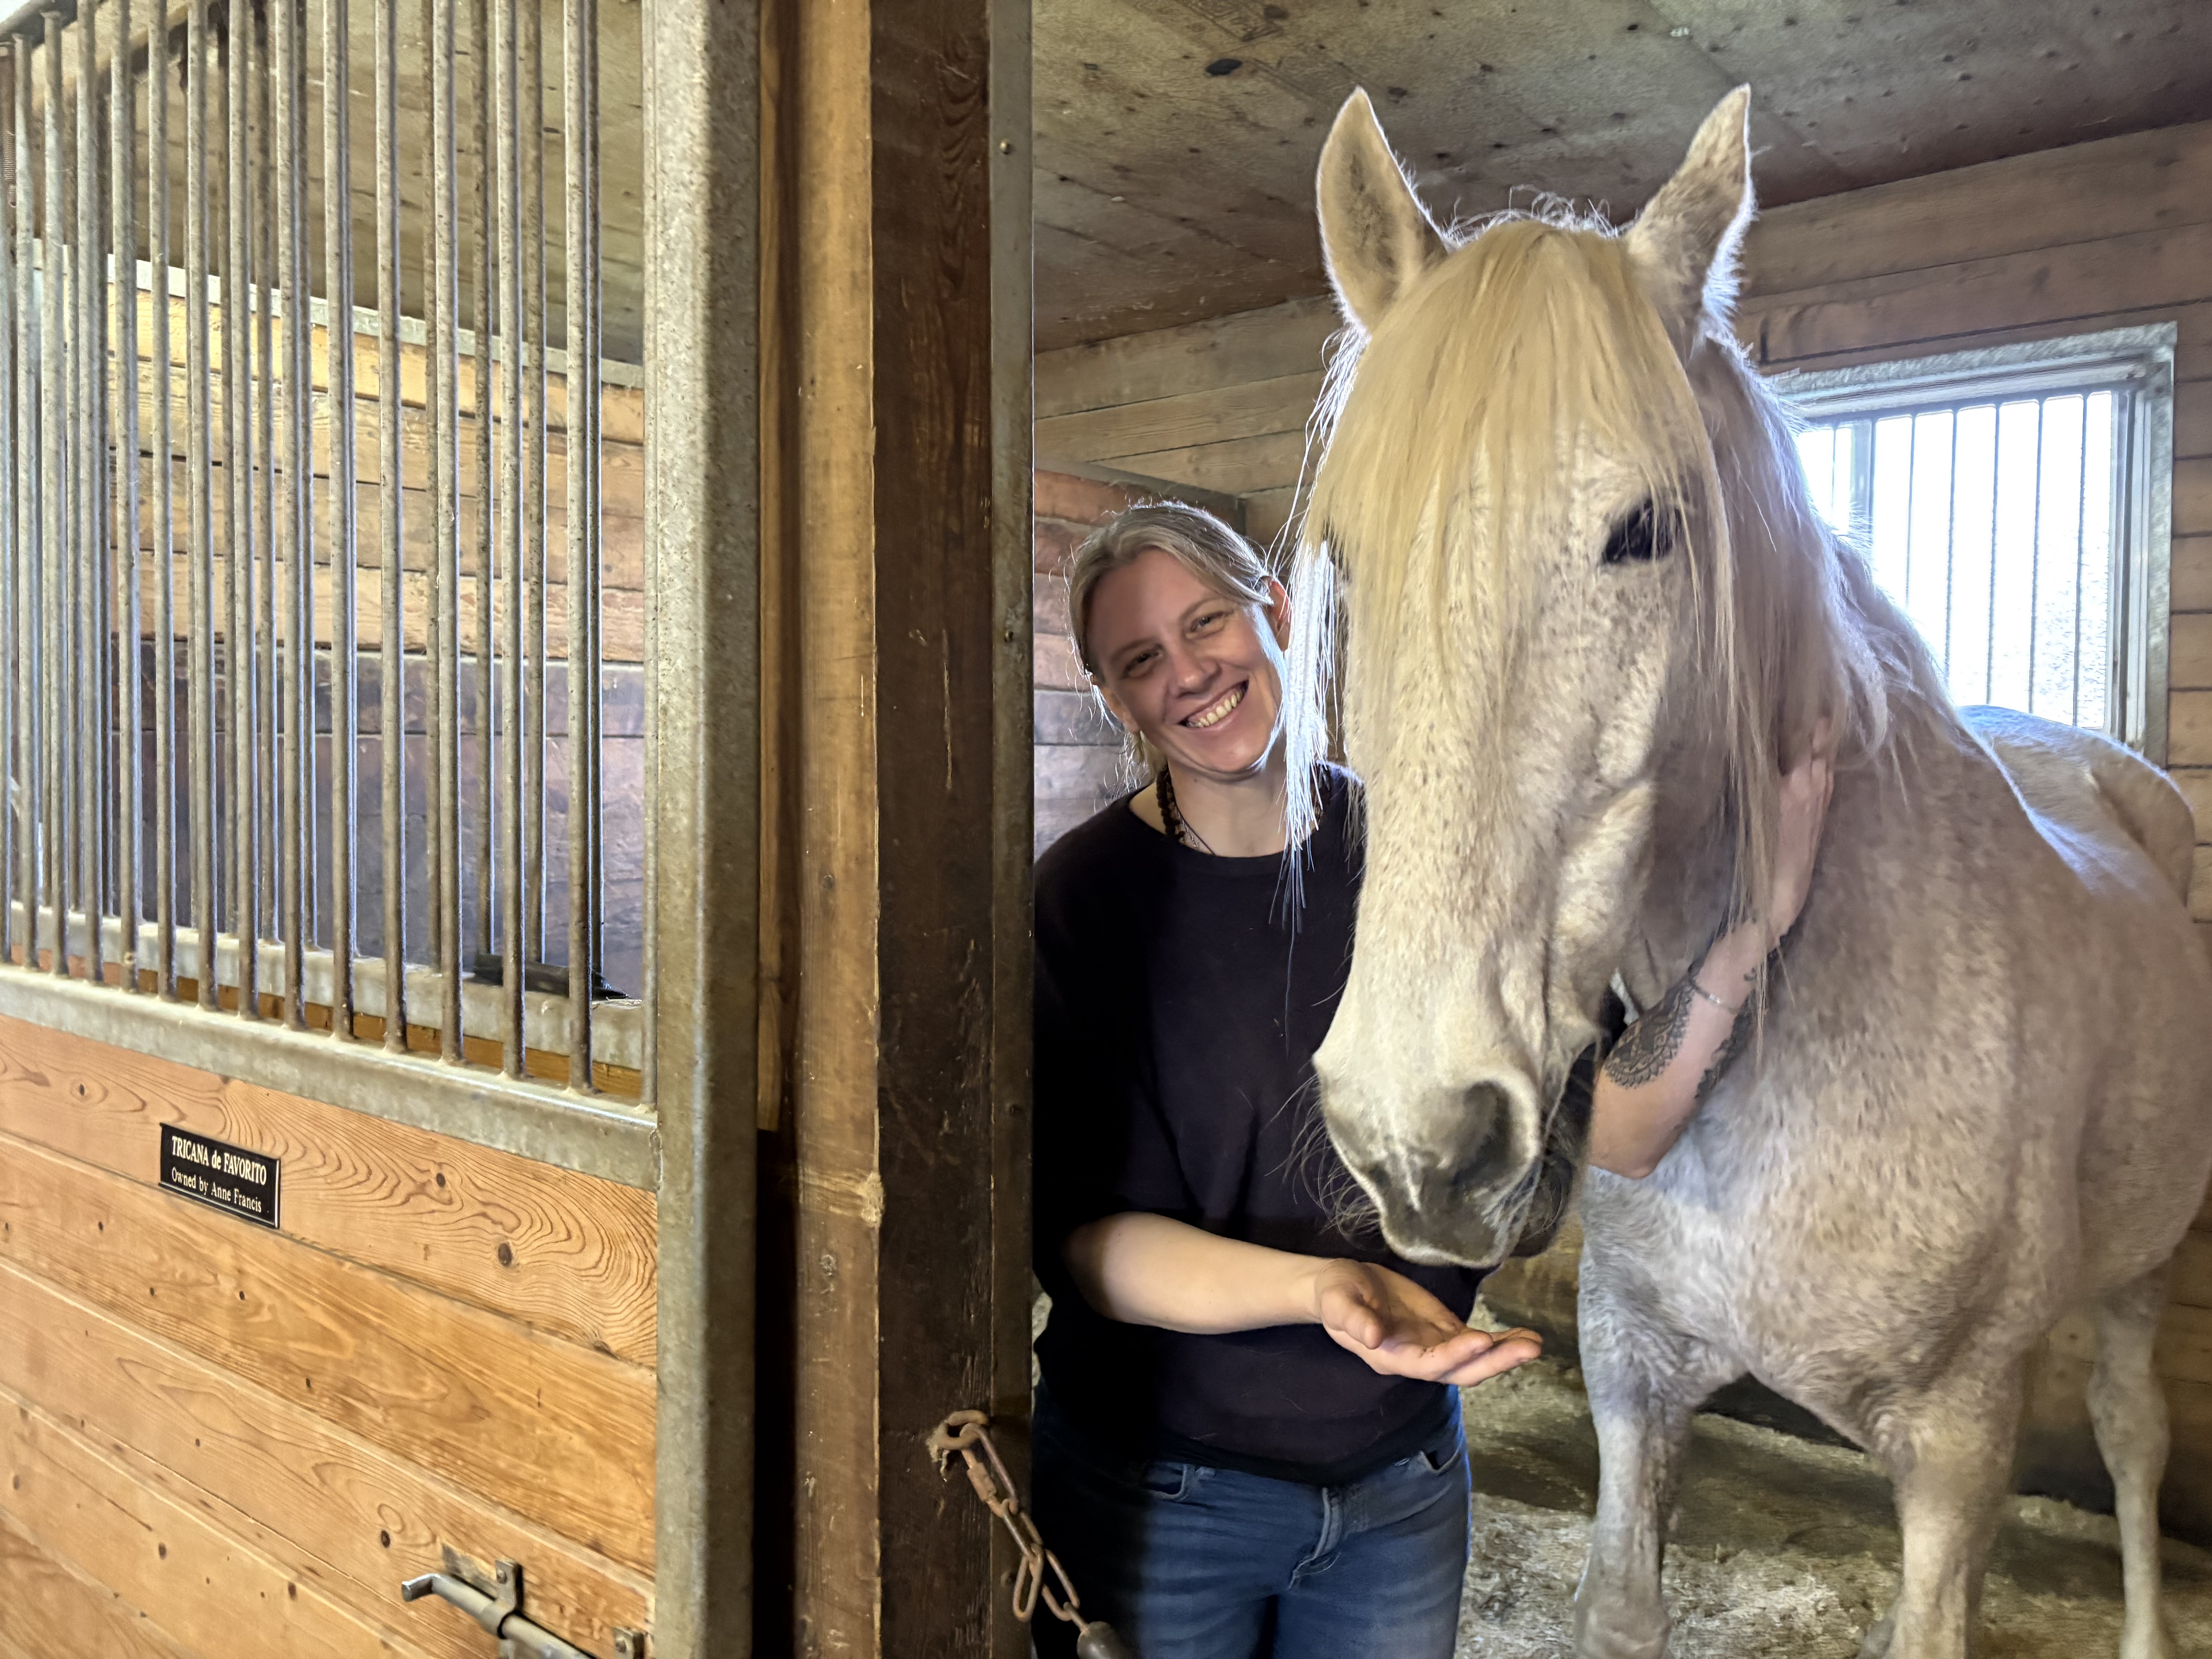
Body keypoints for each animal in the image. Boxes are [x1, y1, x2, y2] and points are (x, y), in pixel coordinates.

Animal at [1285, 85, 2212, 1659]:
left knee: (2133, 1434)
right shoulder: (1633, 1373)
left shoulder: (1958, 1451)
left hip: (2143, 1273)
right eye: (1347, 553)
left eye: (1646, 529)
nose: (1419, 1140)